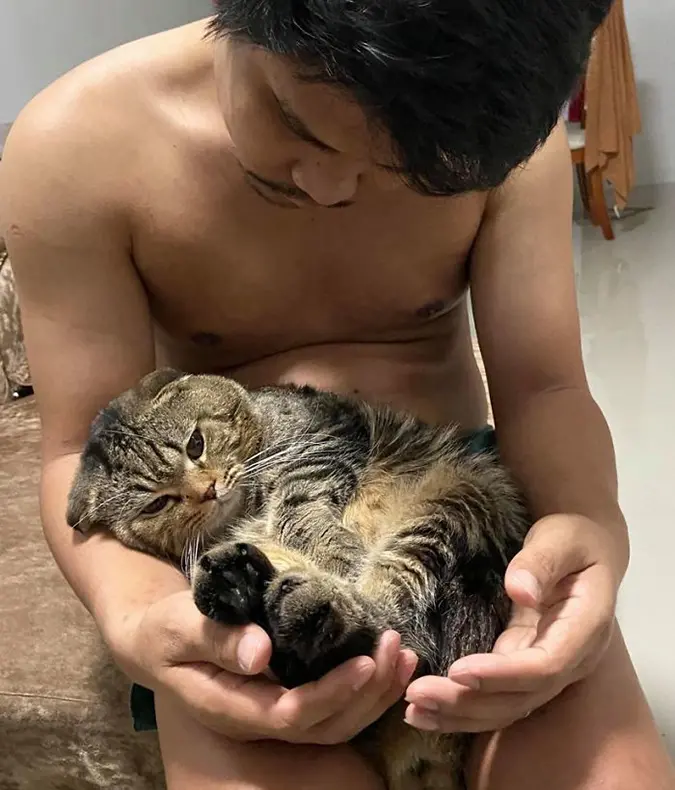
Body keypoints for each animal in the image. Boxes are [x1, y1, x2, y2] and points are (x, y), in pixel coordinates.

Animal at [68, 372, 532, 790]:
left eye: (195, 444)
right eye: (156, 504)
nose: (208, 491)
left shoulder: (317, 448)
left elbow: (297, 507)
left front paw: (339, 552)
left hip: (448, 505)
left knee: (395, 625)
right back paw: (244, 588)